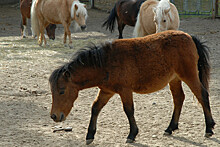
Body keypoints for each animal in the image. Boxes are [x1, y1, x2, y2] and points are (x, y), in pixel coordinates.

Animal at [49, 30, 215, 145]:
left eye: (62, 91)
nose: (54, 116)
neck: (106, 62)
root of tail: (189, 37)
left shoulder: (125, 91)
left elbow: (129, 110)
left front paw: (132, 134)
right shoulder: (106, 91)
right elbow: (95, 108)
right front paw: (90, 135)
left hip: (189, 76)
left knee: (202, 95)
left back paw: (209, 128)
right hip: (174, 80)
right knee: (179, 98)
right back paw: (170, 128)